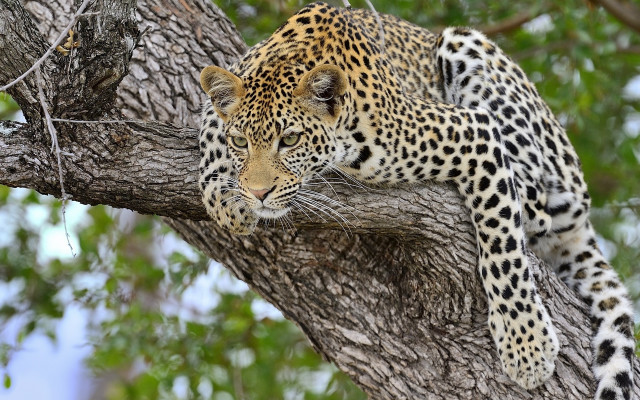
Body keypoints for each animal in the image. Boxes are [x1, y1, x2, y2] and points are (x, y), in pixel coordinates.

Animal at [197, 2, 634, 399]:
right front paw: (224, 195)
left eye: (289, 140)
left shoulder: (473, 131)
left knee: (538, 206)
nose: (258, 193)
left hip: (470, 50)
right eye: (241, 142)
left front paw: (526, 344)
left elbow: (503, 250)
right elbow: (209, 127)